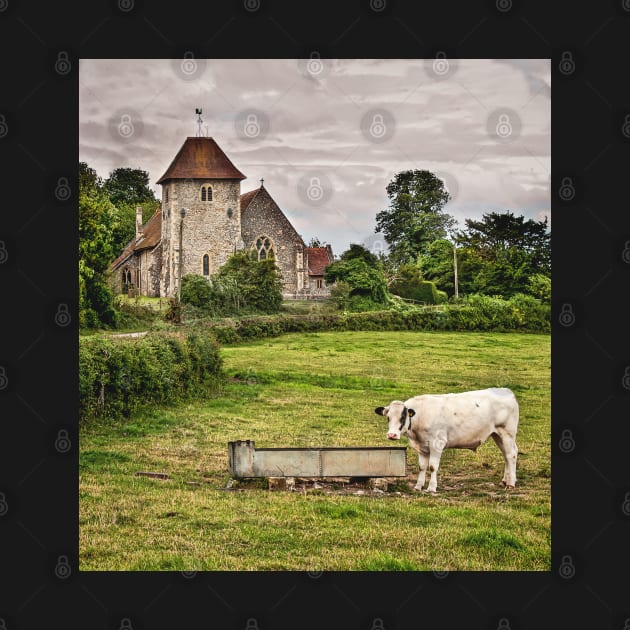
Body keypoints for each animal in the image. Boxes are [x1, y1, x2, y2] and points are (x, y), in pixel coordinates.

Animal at [380, 388, 520, 496]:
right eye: (388, 418)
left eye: (403, 417)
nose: (392, 435)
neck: (421, 416)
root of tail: (506, 390)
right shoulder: (422, 448)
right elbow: (422, 467)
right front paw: (418, 486)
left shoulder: (437, 444)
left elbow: (432, 467)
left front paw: (431, 488)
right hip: (497, 435)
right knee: (506, 455)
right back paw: (505, 480)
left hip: (507, 433)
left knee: (511, 455)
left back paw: (511, 483)